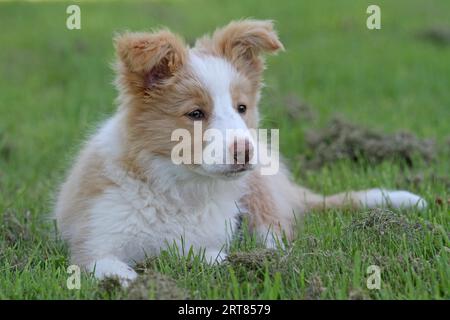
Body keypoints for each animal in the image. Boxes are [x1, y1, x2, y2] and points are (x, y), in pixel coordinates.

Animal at [54, 20, 428, 284]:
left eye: (242, 107)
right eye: (195, 113)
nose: (247, 153)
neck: (178, 188)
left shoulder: (209, 239)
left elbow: (215, 257)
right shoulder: (95, 244)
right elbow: (118, 273)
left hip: (260, 192)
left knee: (275, 234)